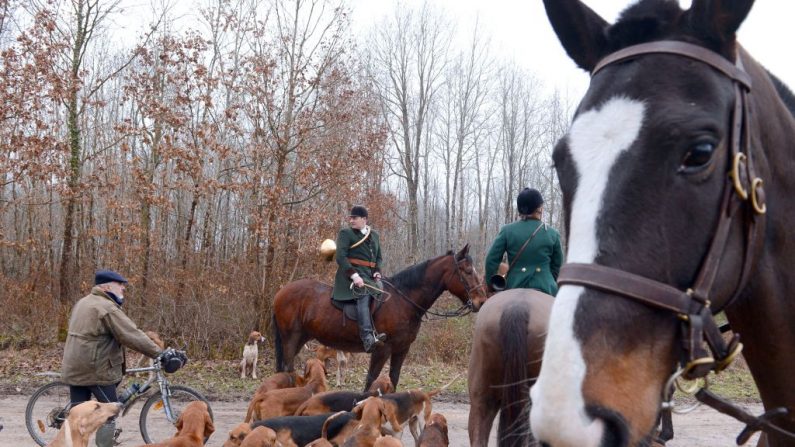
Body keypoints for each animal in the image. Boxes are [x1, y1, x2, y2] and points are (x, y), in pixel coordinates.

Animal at [270, 245, 488, 392]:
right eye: (468, 271)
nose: (481, 301)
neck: (404, 299)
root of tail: (280, 293)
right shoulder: (382, 349)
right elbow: (371, 380)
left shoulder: (401, 349)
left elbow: (393, 379)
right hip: (290, 338)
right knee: (288, 369)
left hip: (299, 338)